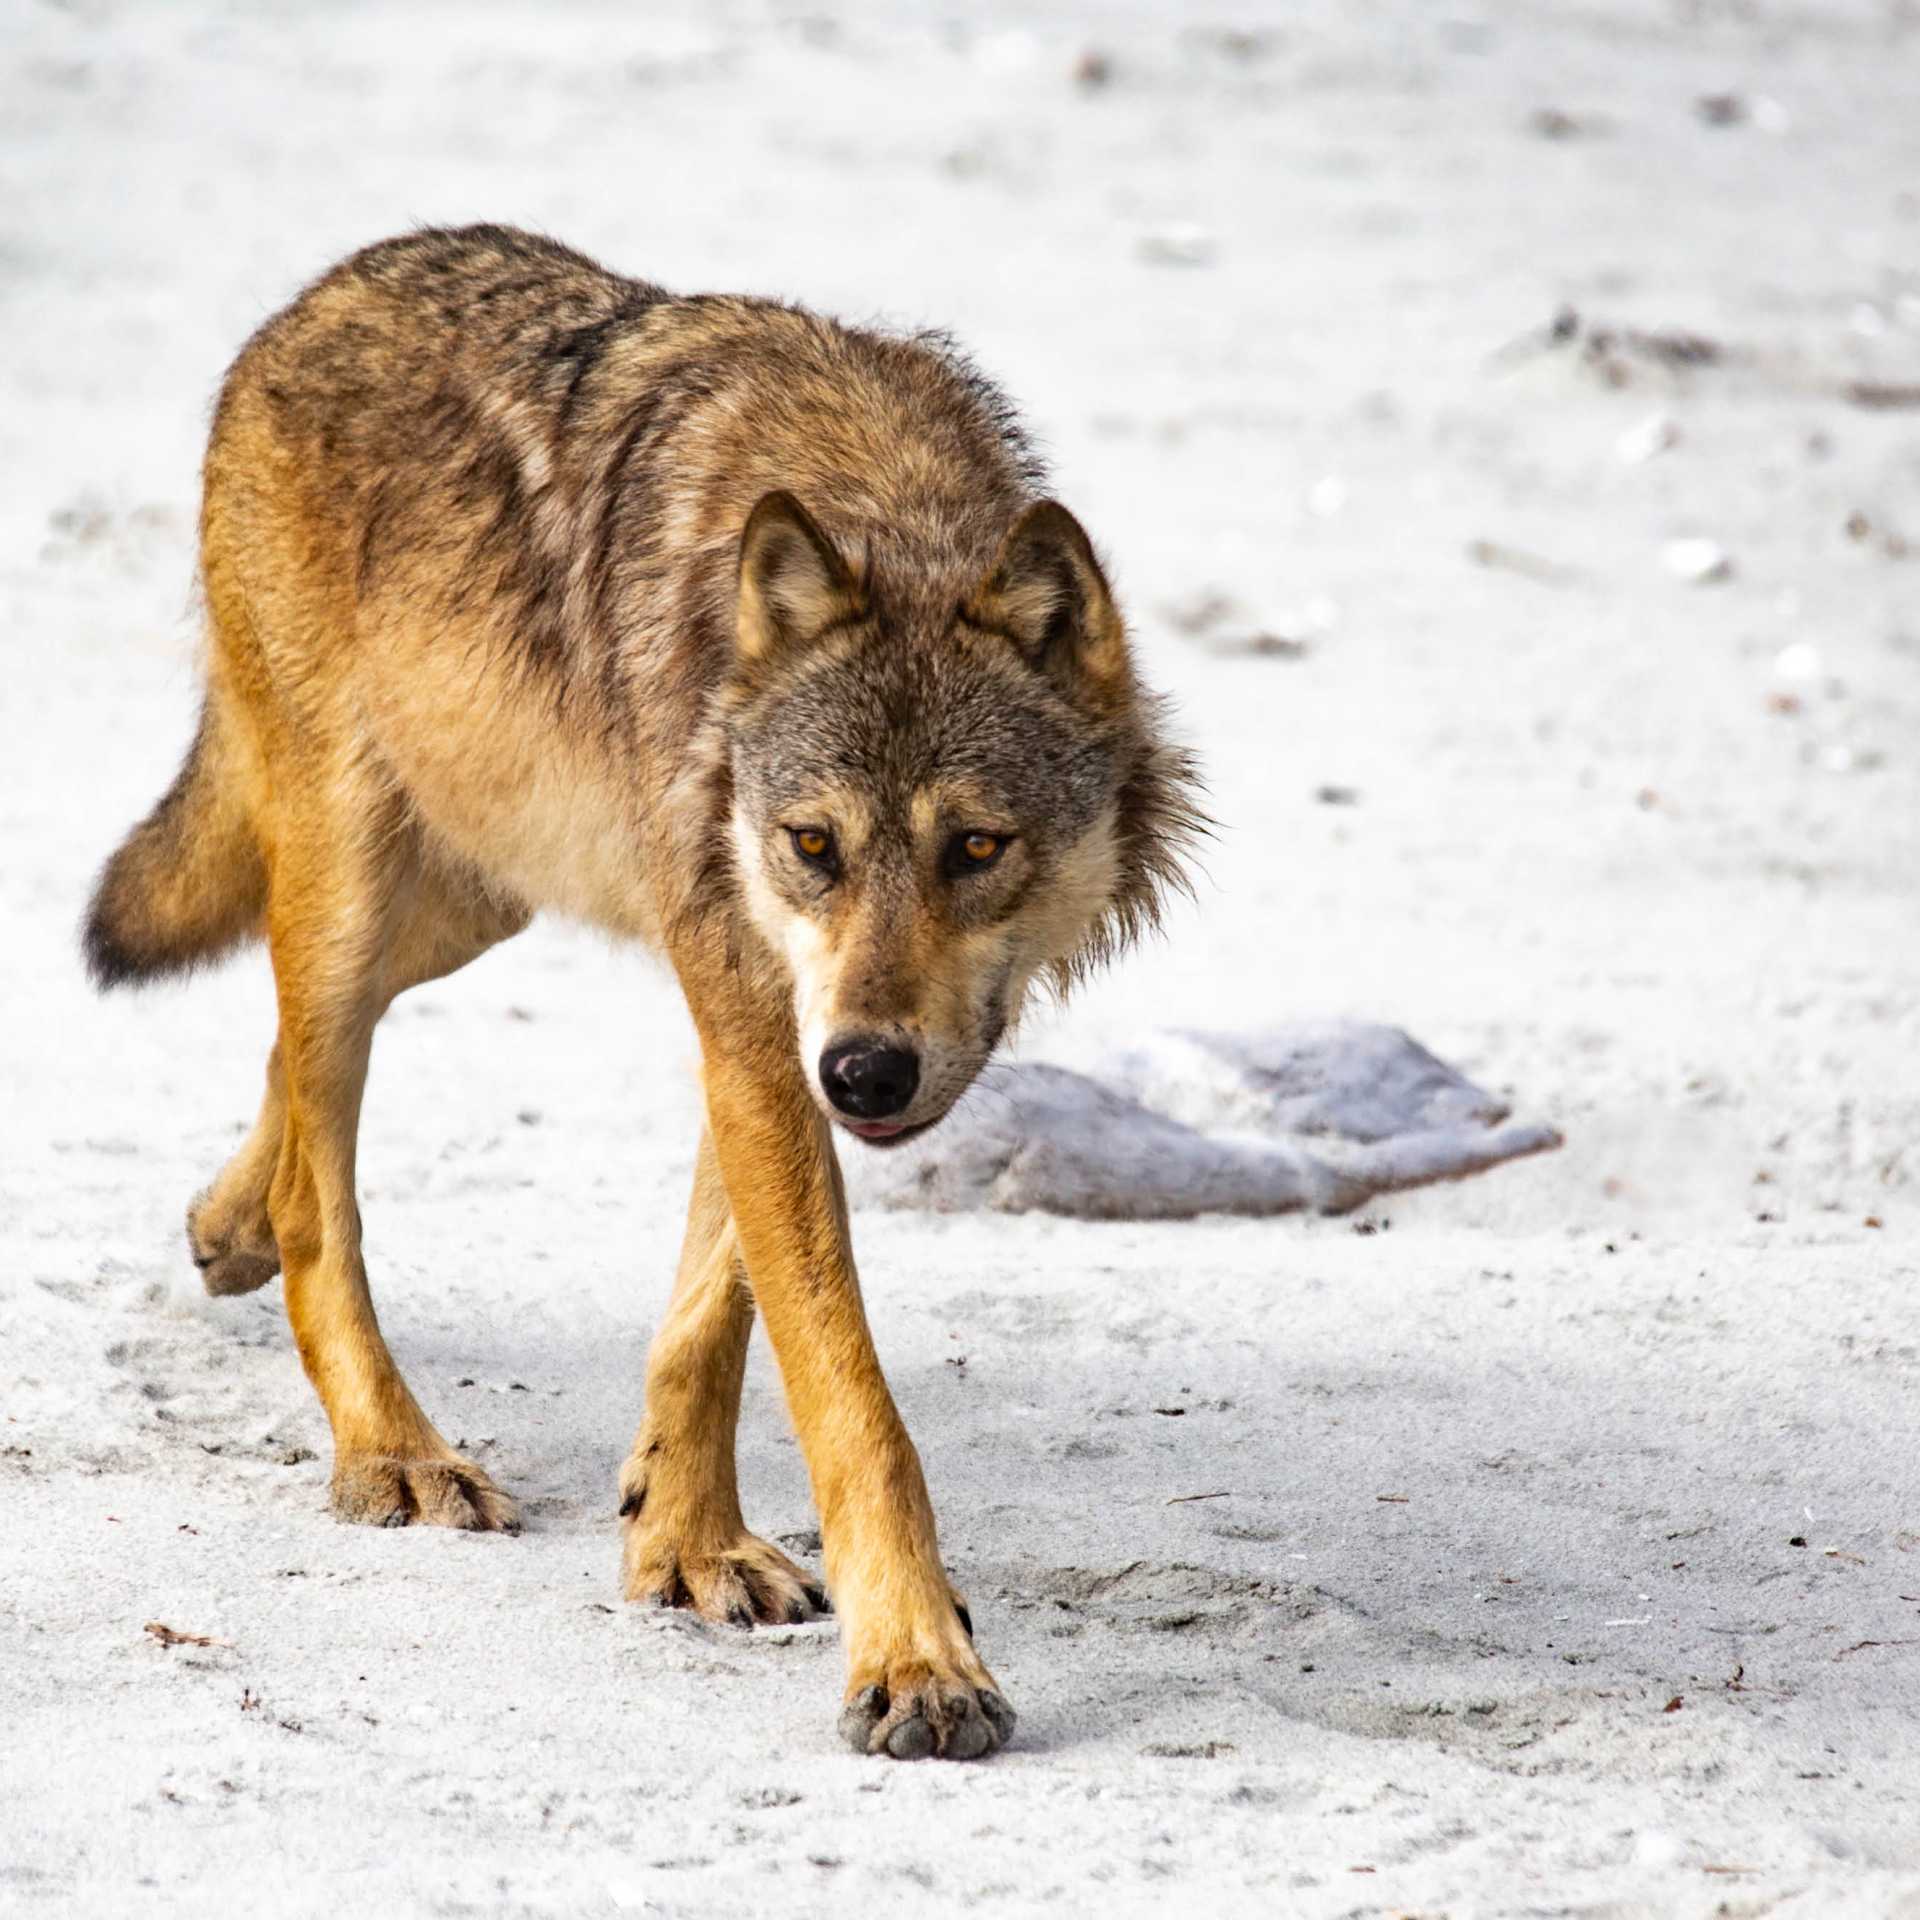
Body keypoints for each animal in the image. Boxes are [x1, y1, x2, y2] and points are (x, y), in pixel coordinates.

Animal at [85, 224, 1202, 1760]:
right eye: (815, 846)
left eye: (976, 850)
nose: (868, 1076)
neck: (878, 501)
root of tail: (315, 295)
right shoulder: (755, 1010)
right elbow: (851, 1402)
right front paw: (917, 1664)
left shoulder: (765, 1018)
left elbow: (713, 1315)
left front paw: (684, 1542)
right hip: (363, 869)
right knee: (326, 1180)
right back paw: (391, 1447)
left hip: (480, 884)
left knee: (292, 1076)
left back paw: (228, 1221)